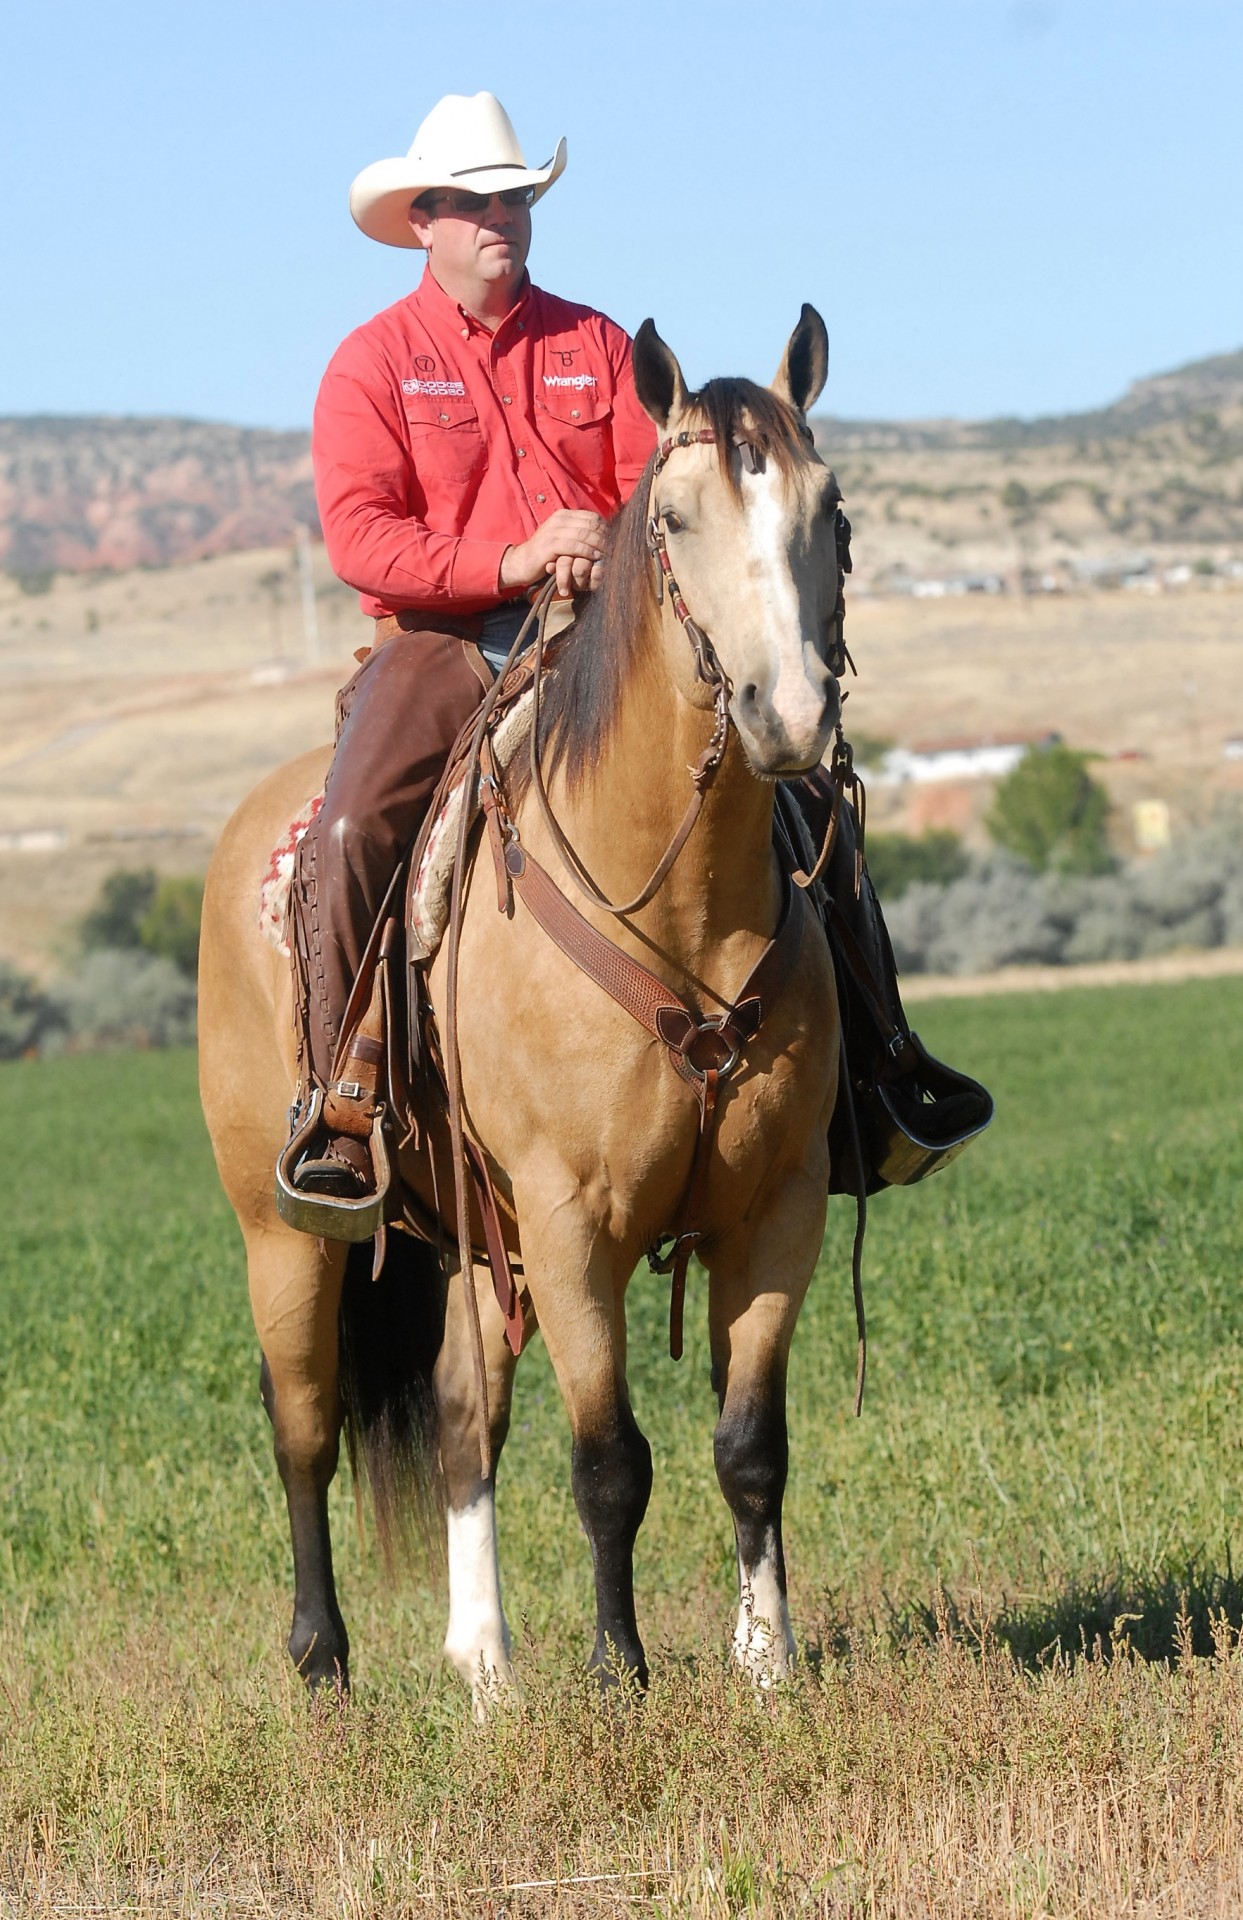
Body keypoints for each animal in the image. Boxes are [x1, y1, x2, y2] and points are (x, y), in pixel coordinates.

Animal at [199, 307, 849, 1704]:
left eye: (831, 509)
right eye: (673, 519)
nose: (788, 715)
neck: (678, 908)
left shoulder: (779, 1207)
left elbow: (749, 1445)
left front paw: (767, 1664)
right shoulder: (568, 1221)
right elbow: (610, 1462)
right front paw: (618, 1673)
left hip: (466, 1233)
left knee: (460, 1417)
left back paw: (485, 1666)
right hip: (285, 1235)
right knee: (305, 1429)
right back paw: (323, 1661)